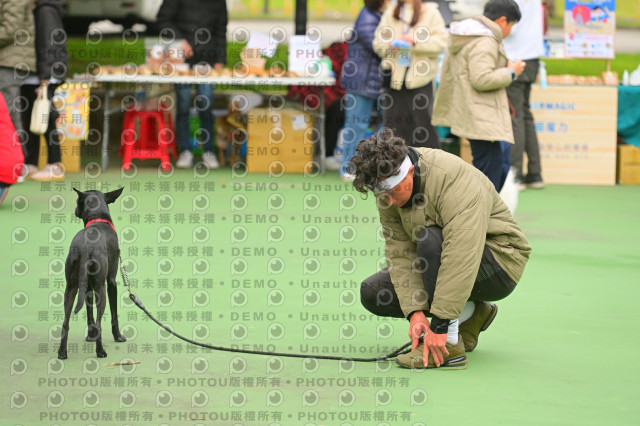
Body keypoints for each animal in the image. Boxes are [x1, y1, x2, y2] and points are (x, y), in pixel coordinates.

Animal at [58, 187, 126, 359]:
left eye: (77, 202)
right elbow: (113, 314)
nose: (75, 210)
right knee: (100, 322)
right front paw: (118, 336)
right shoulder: (111, 281)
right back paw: (100, 351)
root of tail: (86, 246)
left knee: (65, 322)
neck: (97, 219)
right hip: (101, 288)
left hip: (71, 287)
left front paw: (90, 336)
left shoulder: (87, 286)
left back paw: (62, 352)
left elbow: (89, 315)